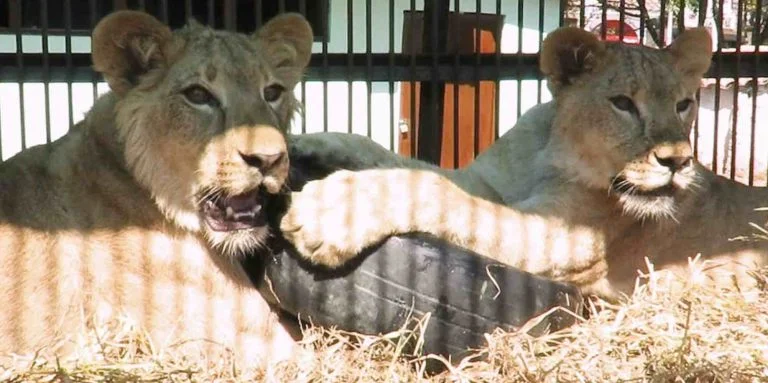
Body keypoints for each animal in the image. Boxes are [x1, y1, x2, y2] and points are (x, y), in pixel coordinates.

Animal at [280, 27, 768, 304]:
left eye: (685, 105)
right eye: (623, 103)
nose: (678, 161)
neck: (548, 152)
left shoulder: (561, 239)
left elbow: (437, 191)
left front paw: (333, 212)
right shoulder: (483, 181)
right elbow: (403, 163)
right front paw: (303, 143)